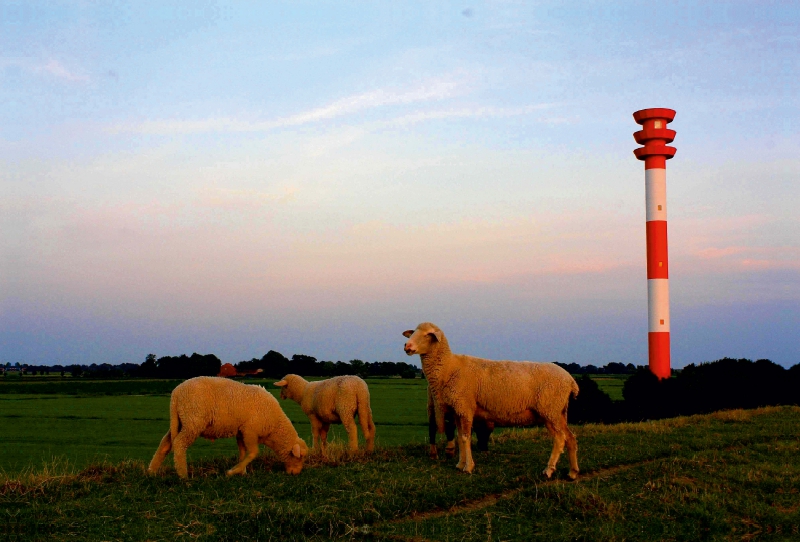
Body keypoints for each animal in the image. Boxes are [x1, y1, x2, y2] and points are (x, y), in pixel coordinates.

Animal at [147, 378, 310, 480]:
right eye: (300, 457)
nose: (295, 474)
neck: (275, 427)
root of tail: (176, 394)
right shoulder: (250, 430)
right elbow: (253, 453)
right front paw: (232, 471)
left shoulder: (240, 431)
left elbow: (243, 452)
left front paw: (242, 471)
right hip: (193, 422)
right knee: (179, 443)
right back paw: (183, 475)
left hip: (181, 421)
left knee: (166, 443)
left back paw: (151, 471)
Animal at [404, 324, 580, 480]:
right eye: (413, 332)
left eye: (428, 334)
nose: (406, 346)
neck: (449, 367)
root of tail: (571, 380)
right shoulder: (457, 411)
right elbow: (460, 437)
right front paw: (460, 465)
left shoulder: (465, 407)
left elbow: (466, 438)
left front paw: (468, 467)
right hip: (558, 412)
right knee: (570, 437)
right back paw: (572, 473)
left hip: (550, 410)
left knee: (560, 439)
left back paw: (548, 470)